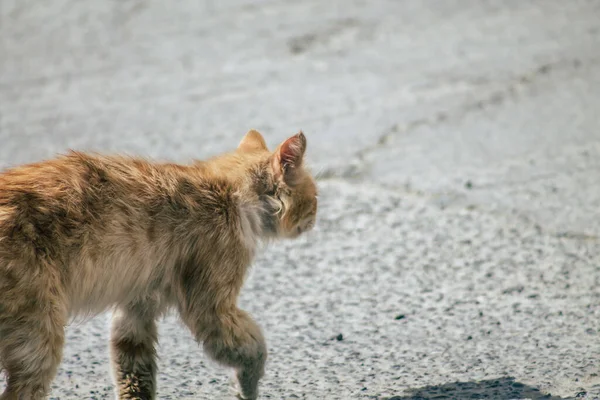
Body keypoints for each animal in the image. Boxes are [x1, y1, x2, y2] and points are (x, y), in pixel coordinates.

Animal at [0, 131, 318, 400]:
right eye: (315, 197)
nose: (316, 216)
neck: (229, 194)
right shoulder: (211, 309)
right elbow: (254, 347)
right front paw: (249, 386)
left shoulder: (136, 310)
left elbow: (134, 375)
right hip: (40, 337)